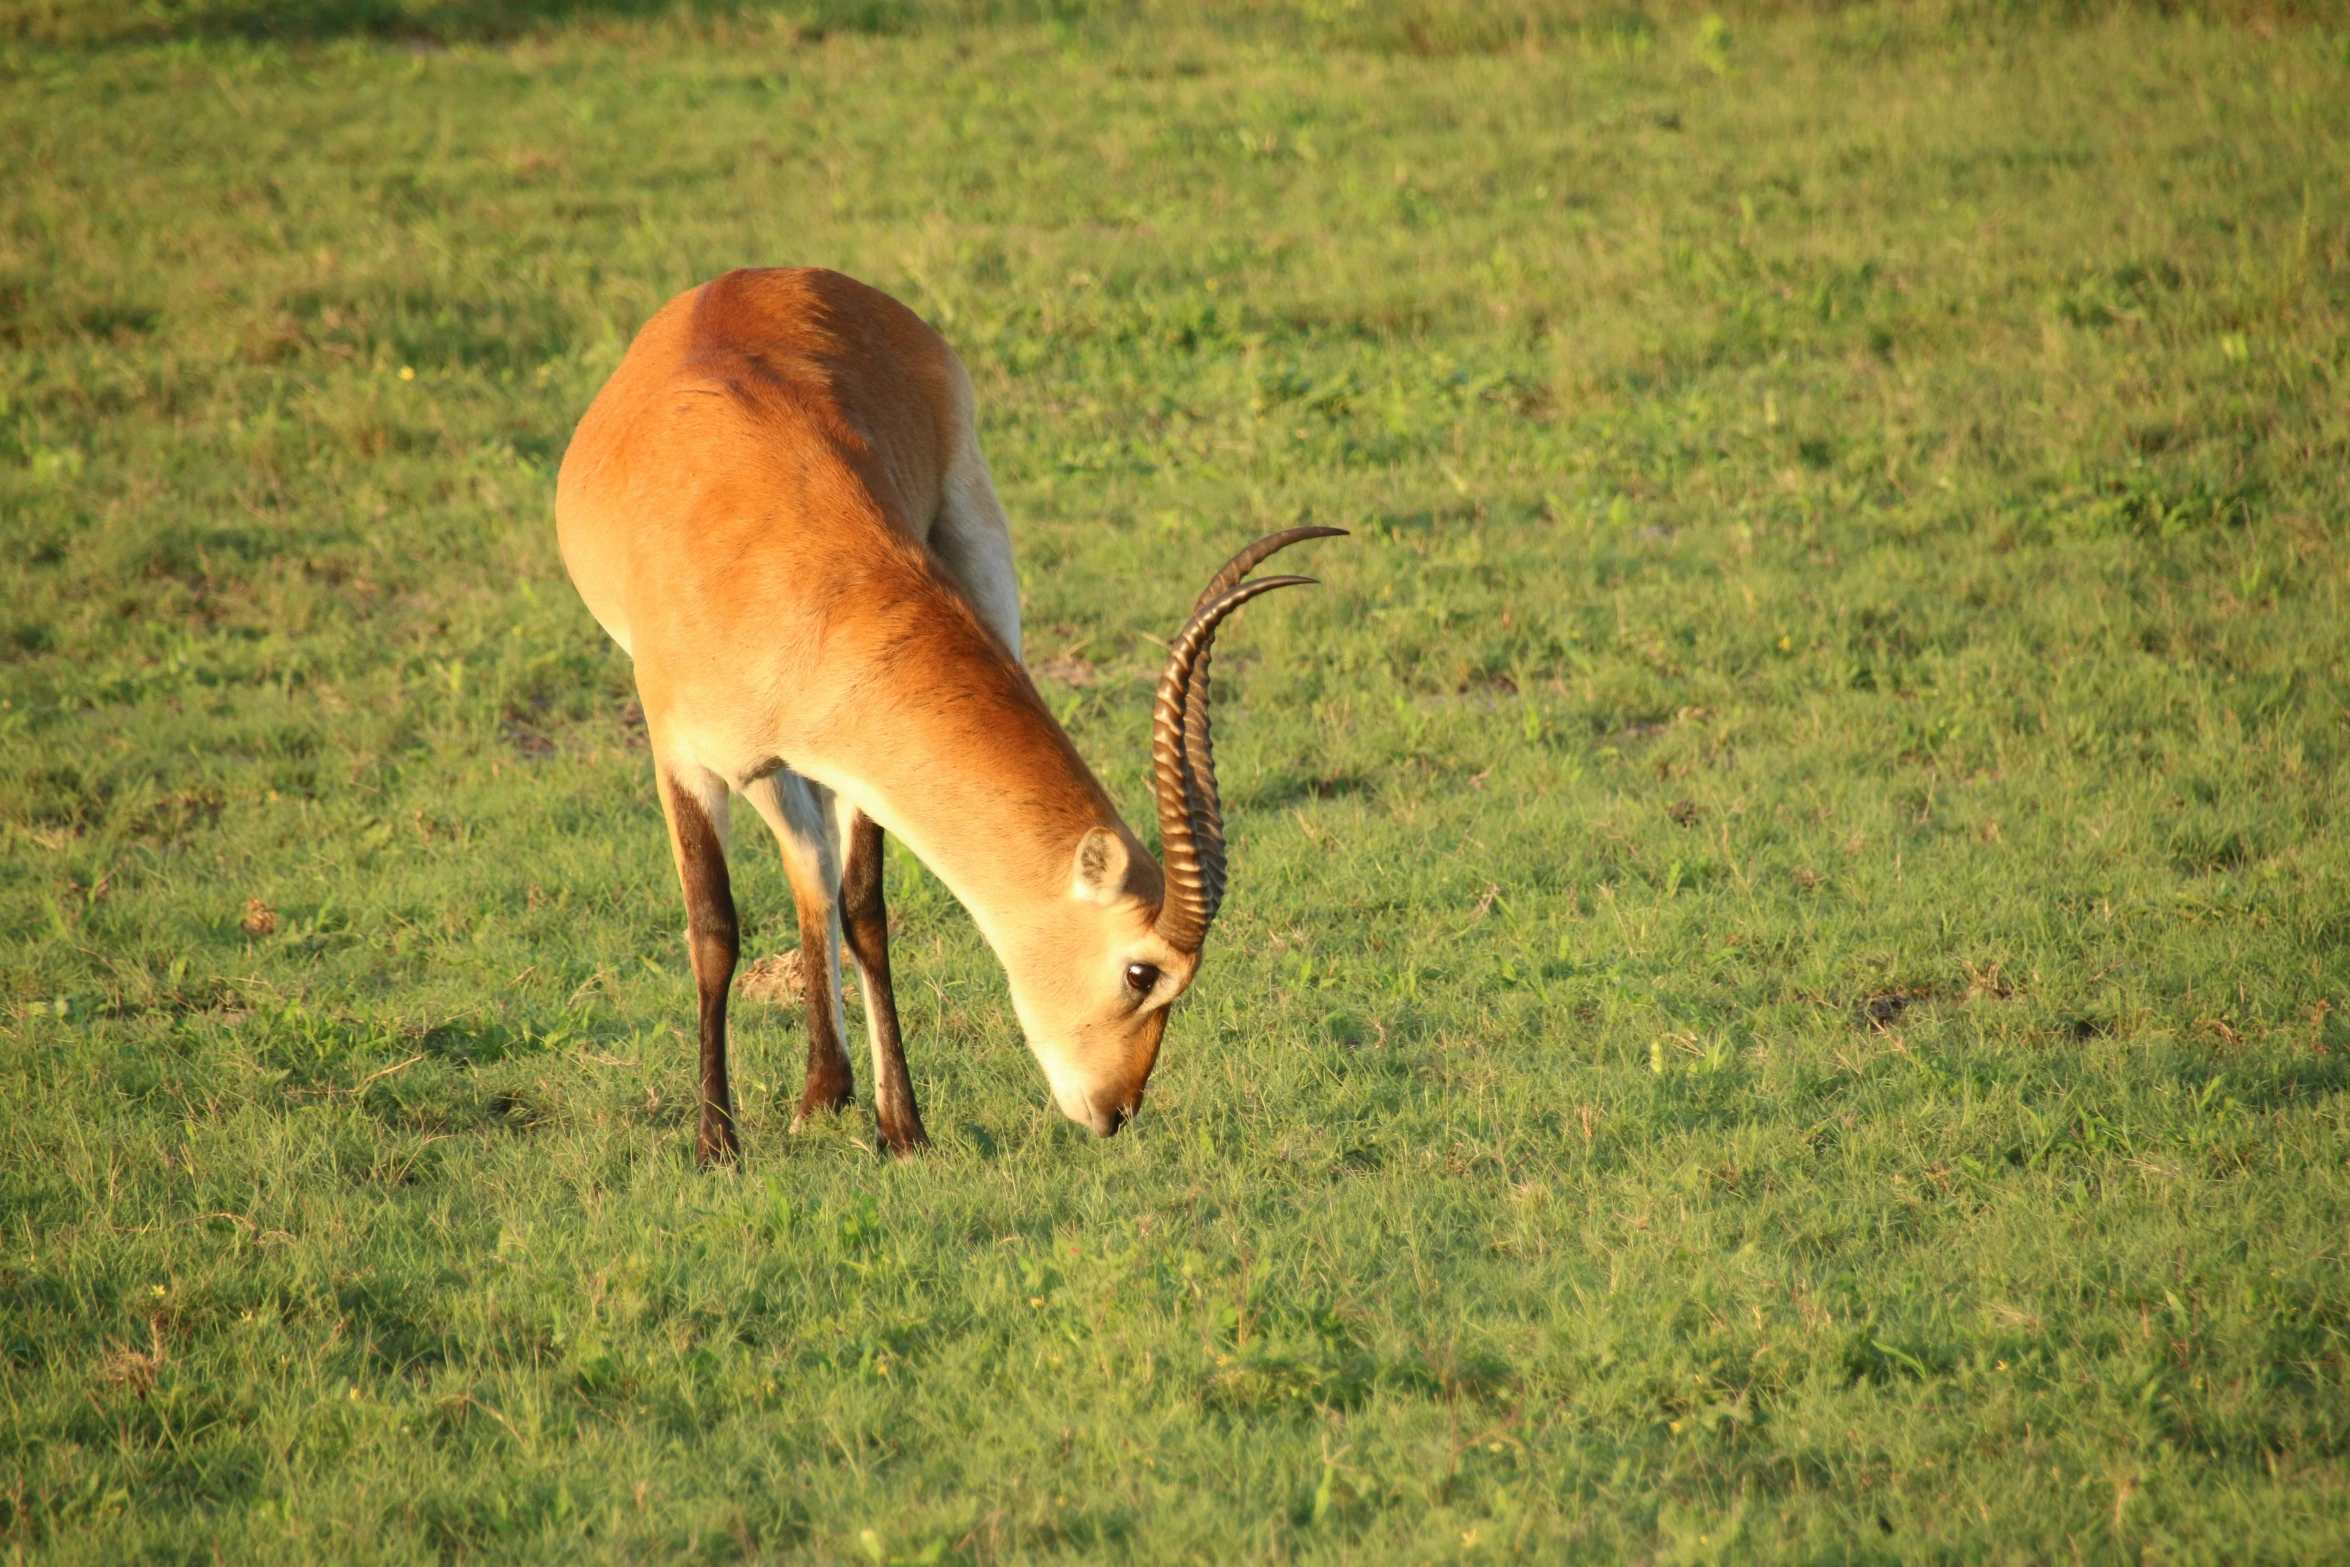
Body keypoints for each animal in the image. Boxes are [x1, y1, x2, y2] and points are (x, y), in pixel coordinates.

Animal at [549, 263, 1344, 1160]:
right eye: (1143, 970)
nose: (1116, 1108)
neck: (777, 556)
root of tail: (767, 275)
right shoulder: (681, 753)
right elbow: (713, 930)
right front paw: (716, 1144)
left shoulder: (857, 749)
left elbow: (865, 908)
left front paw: (902, 1127)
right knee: (800, 859)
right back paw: (807, 1096)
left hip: (975, 574)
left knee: (813, 862)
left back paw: (825, 1090)